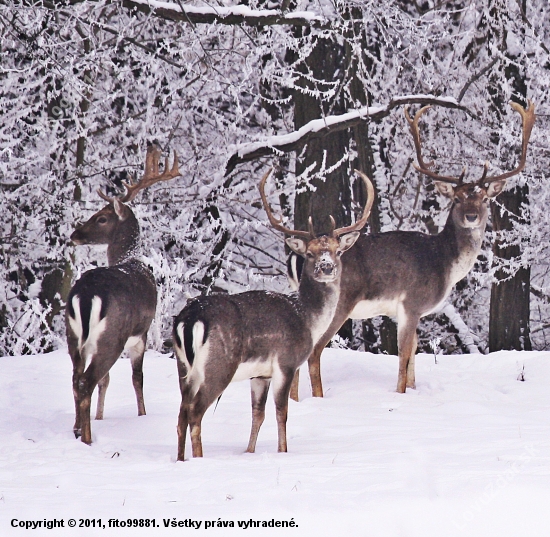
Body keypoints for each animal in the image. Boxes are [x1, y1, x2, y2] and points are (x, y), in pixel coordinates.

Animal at [66, 146, 180, 444]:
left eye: (101, 217)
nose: (74, 234)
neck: (132, 259)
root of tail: (85, 296)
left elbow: (108, 380)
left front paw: (99, 416)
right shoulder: (141, 332)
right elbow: (137, 377)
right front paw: (142, 415)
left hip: (74, 336)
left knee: (77, 379)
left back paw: (77, 429)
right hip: (112, 337)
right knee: (87, 381)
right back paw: (87, 438)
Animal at [175, 169, 378, 460]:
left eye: (337, 251)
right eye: (309, 253)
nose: (327, 267)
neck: (307, 318)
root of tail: (190, 319)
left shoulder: (260, 375)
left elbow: (257, 415)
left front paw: (249, 452)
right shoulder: (286, 362)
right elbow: (282, 412)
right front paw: (283, 451)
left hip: (183, 367)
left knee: (181, 414)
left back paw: (180, 460)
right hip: (218, 365)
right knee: (195, 413)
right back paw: (199, 459)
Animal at [288, 100, 540, 396]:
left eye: (485, 200)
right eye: (456, 198)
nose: (471, 216)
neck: (444, 262)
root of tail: (297, 256)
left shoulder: (406, 311)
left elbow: (413, 355)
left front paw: (413, 390)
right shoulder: (412, 302)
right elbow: (404, 354)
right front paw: (400, 394)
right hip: (339, 302)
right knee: (315, 351)